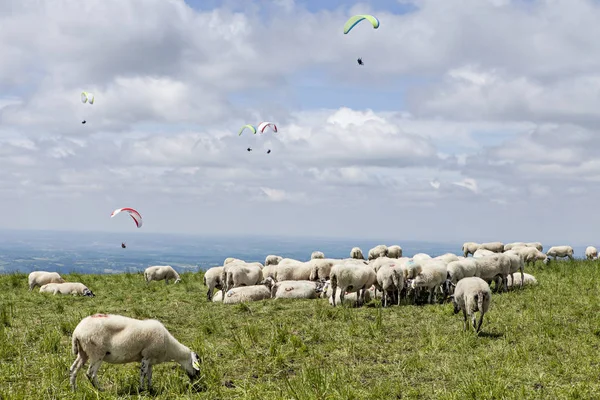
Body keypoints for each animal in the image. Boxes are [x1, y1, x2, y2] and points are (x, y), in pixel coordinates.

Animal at [68, 312, 199, 390]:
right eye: (197, 364)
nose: (197, 381)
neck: (170, 347)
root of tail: (77, 331)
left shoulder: (150, 359)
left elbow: (149, 375)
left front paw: (150, 388)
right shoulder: (146, 356)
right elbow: (143, 373)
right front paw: (142, 389)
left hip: (83, 352)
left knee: (73, 369)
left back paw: (74, 389)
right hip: (97, 353)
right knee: (90, 373)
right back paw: (101, 390)